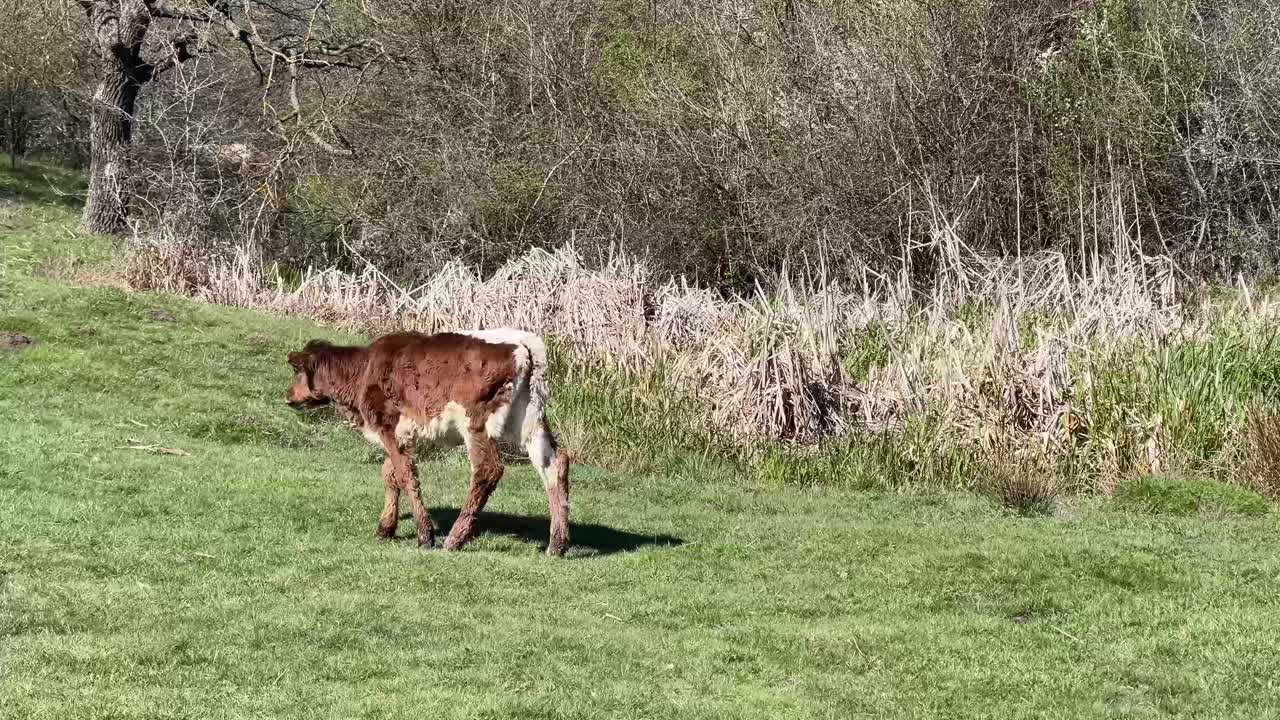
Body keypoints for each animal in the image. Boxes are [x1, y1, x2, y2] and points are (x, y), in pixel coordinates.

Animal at [284, 329, 571, 556]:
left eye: (297, 371)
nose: (288, 397)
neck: (364, 371)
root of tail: (523, 341)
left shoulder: (389, 427)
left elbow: (405, 475)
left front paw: (425, 534)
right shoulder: (401, 435)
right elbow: (389, 474)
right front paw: (386, 527)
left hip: (475, 422)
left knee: (488, 469)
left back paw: (455, 539)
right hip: (530, 421)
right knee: (555, 464)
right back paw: (557, 544)